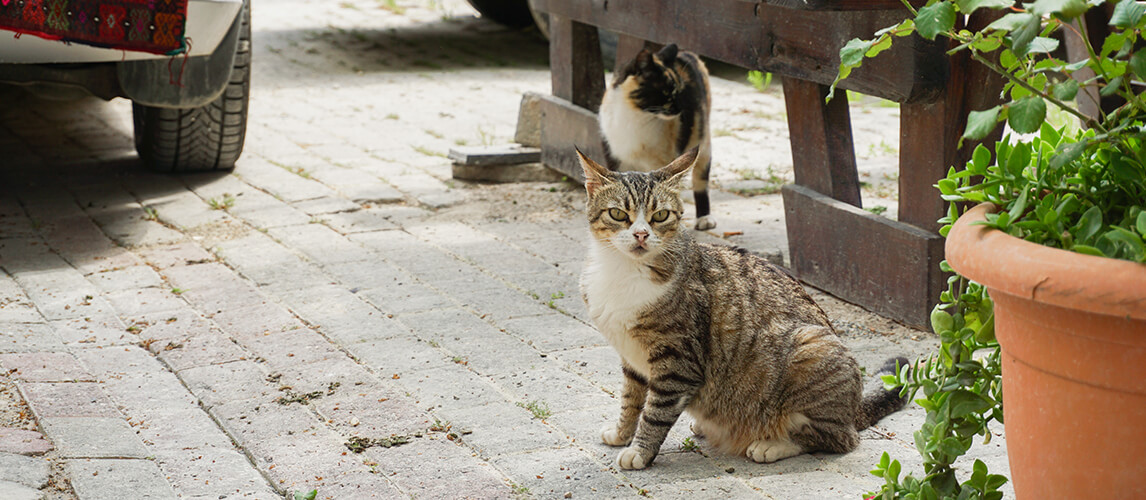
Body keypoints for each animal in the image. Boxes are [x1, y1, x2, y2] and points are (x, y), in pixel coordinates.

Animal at [577, 146, 907, 470]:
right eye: (618, 214)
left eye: (660, 215)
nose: (641, 234)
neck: (623, 270)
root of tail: (854, 408)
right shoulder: (632, 358)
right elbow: (631, 399)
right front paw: (622, 433)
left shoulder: (677, 361)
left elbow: (655, 411)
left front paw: (640, 450)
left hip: (812, 348)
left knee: (837, 438)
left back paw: (773, 444)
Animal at [595, 43, 710, 230]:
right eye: (666, 92)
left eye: (679, 91)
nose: (681, 109)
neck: (635, 116)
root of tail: (687, 52)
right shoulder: (614, 156)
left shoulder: (662, 163)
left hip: (703, 140)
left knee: (701, 180)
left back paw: (704, 219)